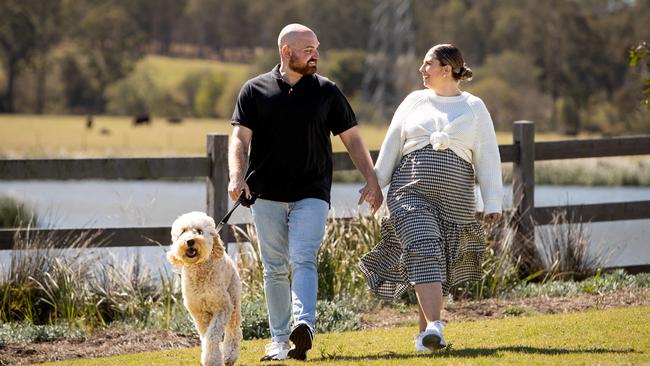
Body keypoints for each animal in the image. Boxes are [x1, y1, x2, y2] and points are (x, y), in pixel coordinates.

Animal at [166, 212, 242, 366]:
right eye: (183, 231)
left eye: (200, 231)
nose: (190, 241)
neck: (199, 271)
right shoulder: (199, 313)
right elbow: (207, 335)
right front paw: (213, 357)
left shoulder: (222, 308)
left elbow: (212, 335)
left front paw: (212, 360)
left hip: (234, 300)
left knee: (234, 329)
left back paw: (229, 356)